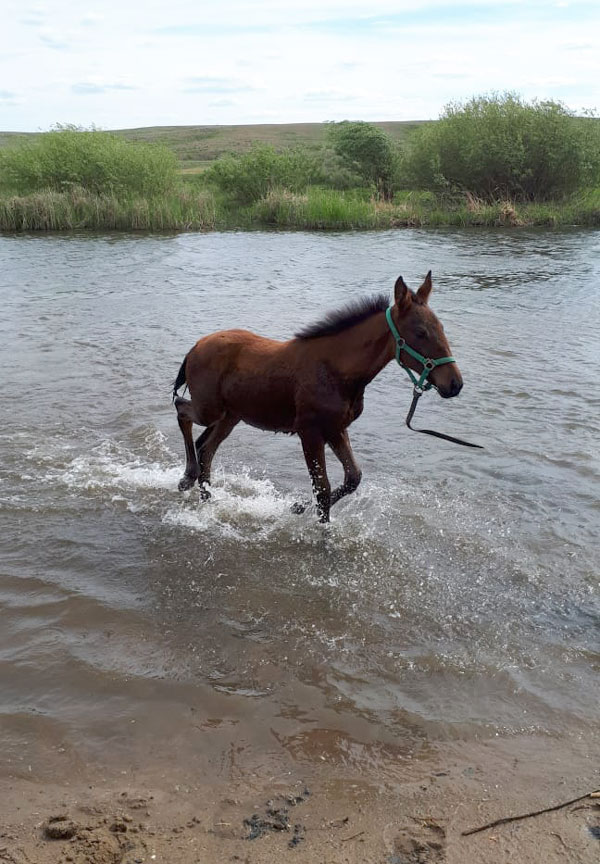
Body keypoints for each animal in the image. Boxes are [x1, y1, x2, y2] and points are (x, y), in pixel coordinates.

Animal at [173, 274, 464, 524]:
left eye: (441, 327)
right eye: (421, 332)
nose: (454, 384)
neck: (341, 373)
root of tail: (194, 348)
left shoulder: (335, 429)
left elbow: (351, 478)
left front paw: (298, 506)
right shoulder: (310, 431)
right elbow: (323, 488)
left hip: (231, 416)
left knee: (207, 448)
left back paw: (206, 497)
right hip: (209, 409)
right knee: (182, 410)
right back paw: (187, 477)